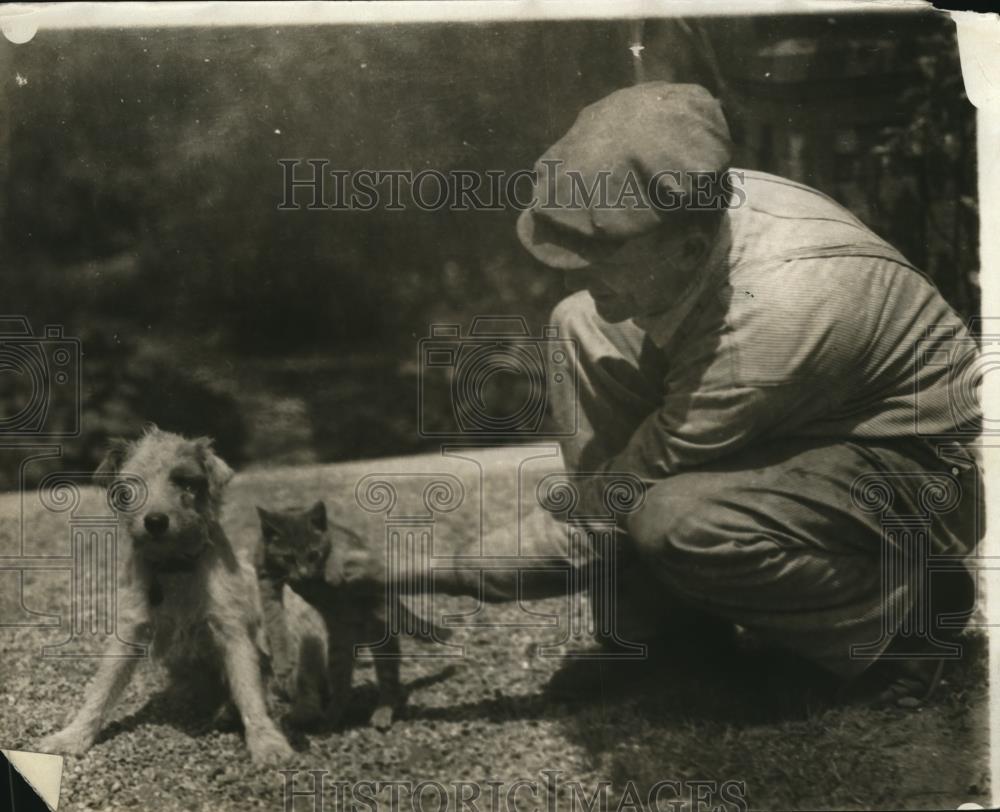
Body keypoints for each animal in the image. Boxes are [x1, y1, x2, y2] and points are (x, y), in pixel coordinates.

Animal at [40, 428, 296, 764]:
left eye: (186, 482)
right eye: (131, 486)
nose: (155, 521)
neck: (175, 566)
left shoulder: (233, 630)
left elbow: (249, 690)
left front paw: (266, 741)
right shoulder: (130, 629)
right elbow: (102, 688)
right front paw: (75, 735)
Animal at [256, 502, 452, 728]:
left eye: (314, 554)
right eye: (287, 557)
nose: (304, 574)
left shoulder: (348, 544)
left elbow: (339, 551)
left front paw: (333, 571)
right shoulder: (266, 580)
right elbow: (274, 621)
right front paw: (281, 664)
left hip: (382, 636)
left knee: (389, 683)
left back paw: (382, 712)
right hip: (338, 650)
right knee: (342, 688)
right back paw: (331, 717)